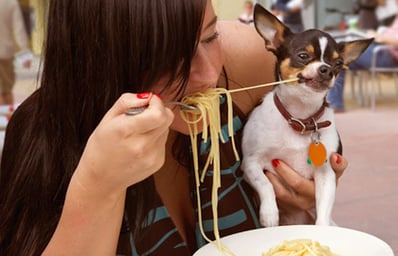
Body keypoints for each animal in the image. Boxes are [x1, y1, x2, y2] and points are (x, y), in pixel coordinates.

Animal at [241, 5, 374, 227]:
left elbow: (323, 212)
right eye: (303, 55)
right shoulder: (251, 163)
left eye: (338, 63)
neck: (301, 118)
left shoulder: (326, 175)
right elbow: (265, 183)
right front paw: (269, 214)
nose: (327, 69)